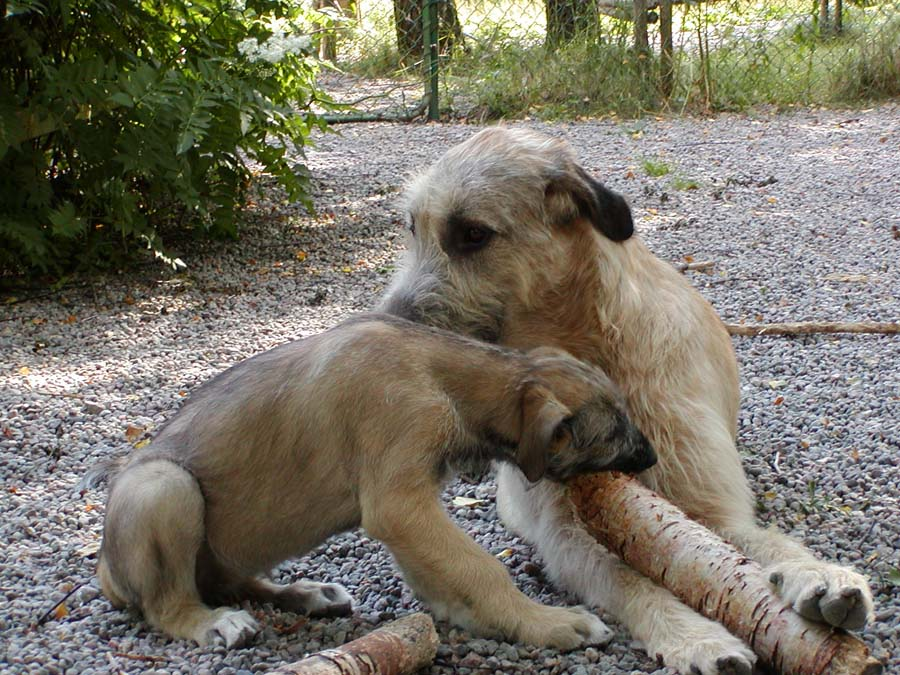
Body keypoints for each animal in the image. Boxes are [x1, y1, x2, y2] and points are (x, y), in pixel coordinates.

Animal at [96, 312, 652, 648]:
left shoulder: (409, 510)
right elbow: (481, 568)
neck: (447, 379)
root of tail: (103, 565)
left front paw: (479, 618)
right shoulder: (398, 502)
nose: (649, 457)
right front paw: (544, 622)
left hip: (235, 542)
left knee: (228, 580)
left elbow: (444, 571)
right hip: (163, 487)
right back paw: (212, 622)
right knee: (168, 604)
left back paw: (304, 595)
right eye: (614, 431)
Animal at [378, 128, 872, 675]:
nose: (381, 332)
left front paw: (815, 573)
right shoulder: (565, 534)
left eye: (472, 234)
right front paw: (696, 635)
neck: (588, 351)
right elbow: (627, 577)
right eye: (411, 228)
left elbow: (762, 542)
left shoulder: (711, 505)